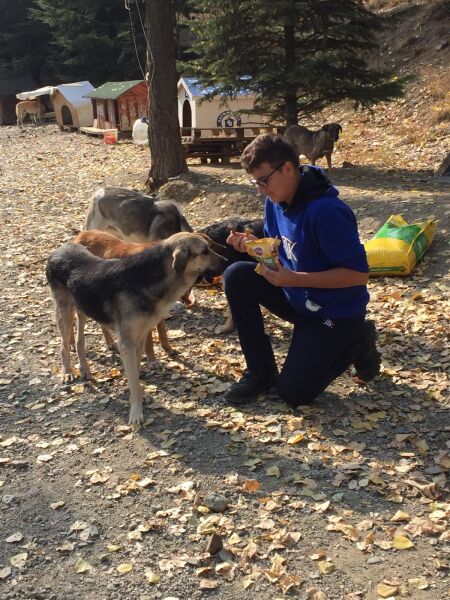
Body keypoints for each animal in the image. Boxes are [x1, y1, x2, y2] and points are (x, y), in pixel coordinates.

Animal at [46, 232, 224, 424]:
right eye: (204, 251)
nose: (227, 261)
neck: (148, 277)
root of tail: (59, 249)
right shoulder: (127, 345)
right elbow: (133, 379)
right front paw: (136, 413)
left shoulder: (139, 340)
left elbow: (137, 375)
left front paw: (141, 395)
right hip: (65, 313)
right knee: (63, 346)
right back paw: (67, 372)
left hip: (83, 308)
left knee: (79, 341)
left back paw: (85, 369)